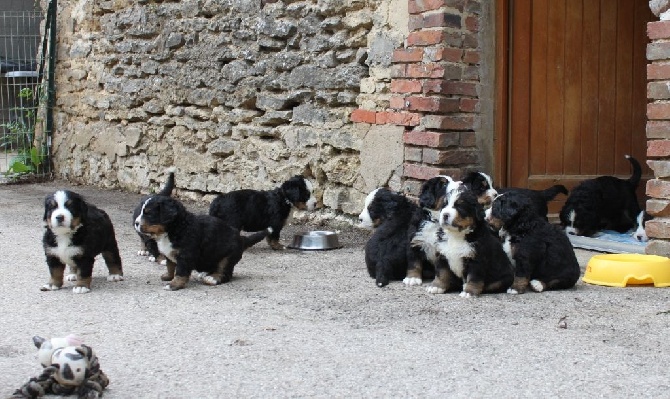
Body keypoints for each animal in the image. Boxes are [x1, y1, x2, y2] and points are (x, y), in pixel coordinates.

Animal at [134, 195, 270, 290]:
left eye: (148, 213)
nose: (135, 223)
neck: (175, 228)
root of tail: (241, 238)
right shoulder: (169, 253)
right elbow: (170, 266)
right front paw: (167, 276)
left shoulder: (186, 255)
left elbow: (180, 272)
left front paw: (174, 285)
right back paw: (204, 273)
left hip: (228, 257)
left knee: (225, 273)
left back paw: (212, 278)